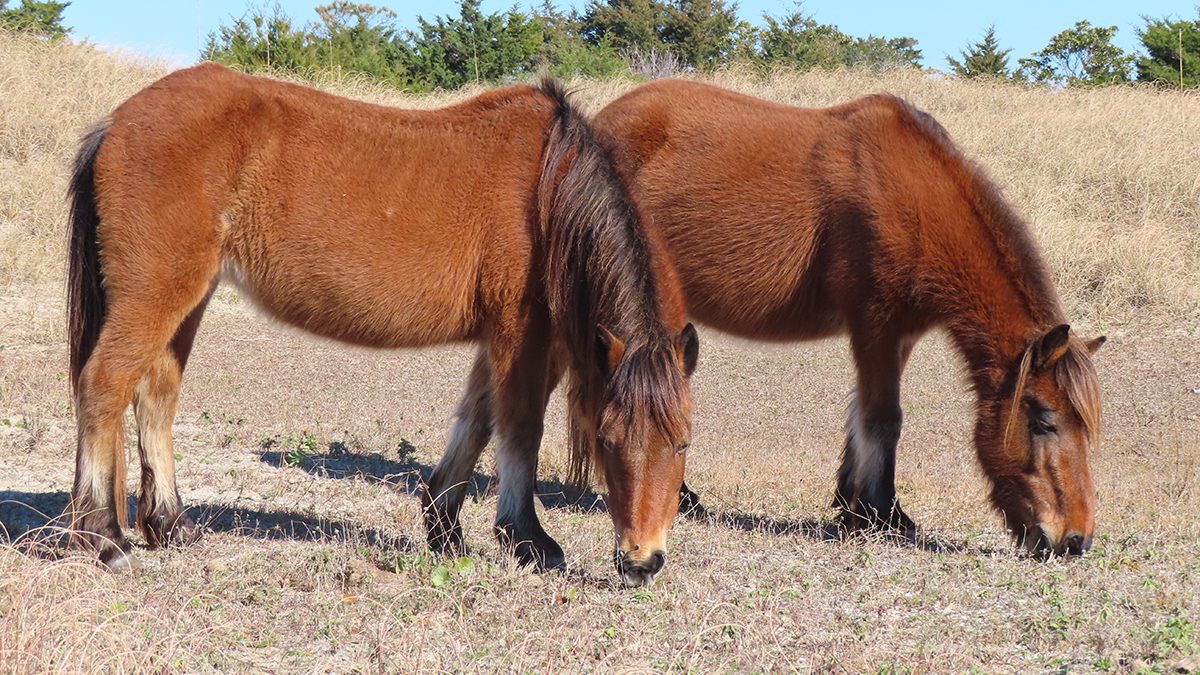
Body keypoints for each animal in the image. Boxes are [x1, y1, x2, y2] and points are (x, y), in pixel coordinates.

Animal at [65, 61, 700, 583]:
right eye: (607, 439)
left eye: (683, 443)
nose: (642, 562)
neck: (548, 189)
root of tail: (117, 121)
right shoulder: (522, 338)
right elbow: (520, 428)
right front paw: (528, 540)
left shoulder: (504, 343)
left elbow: (476, 422)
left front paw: (444, 528)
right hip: (154, 293)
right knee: (103, 387)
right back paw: (104, 539)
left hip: (186, 299)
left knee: (155, 397)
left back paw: (169, 526)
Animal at [590, 78, 1104, 554]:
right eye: (1042, 420)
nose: (1075, 540)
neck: (913, 198)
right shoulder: (874, 324)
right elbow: (883, 418)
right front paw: (883, 514)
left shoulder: (900, 334)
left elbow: (863, 416)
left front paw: (854, 507)